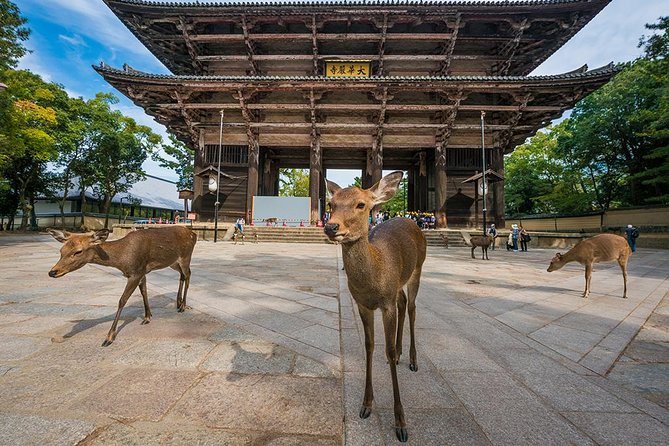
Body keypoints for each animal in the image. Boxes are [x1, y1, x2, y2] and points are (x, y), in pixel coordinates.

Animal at [47, 226, 196, 344]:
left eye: (78, 251)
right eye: (61, 250)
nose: (52, 272)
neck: (122, 259)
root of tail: (193, 233)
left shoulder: (136, 273)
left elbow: (122, 300)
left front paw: (109, 337)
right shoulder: (141, 272)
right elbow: (144, 292)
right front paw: (147, 317)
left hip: (185, 257)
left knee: (188, 274)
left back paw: (183, 306)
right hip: (173, 262)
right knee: (182, 275)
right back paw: (178, 303)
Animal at [322, 172, 426, 442]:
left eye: (361, 204)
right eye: (331, 204)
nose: (331, 227)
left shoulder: (386, 304)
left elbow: (385, 351)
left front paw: (401, 423)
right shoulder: (363, 304)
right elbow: (369, 346)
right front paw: (366, 404)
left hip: (418, 269)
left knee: (412, 307)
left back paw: (412, 359)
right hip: (398, 284)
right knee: (403, 302)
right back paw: (400, 353)